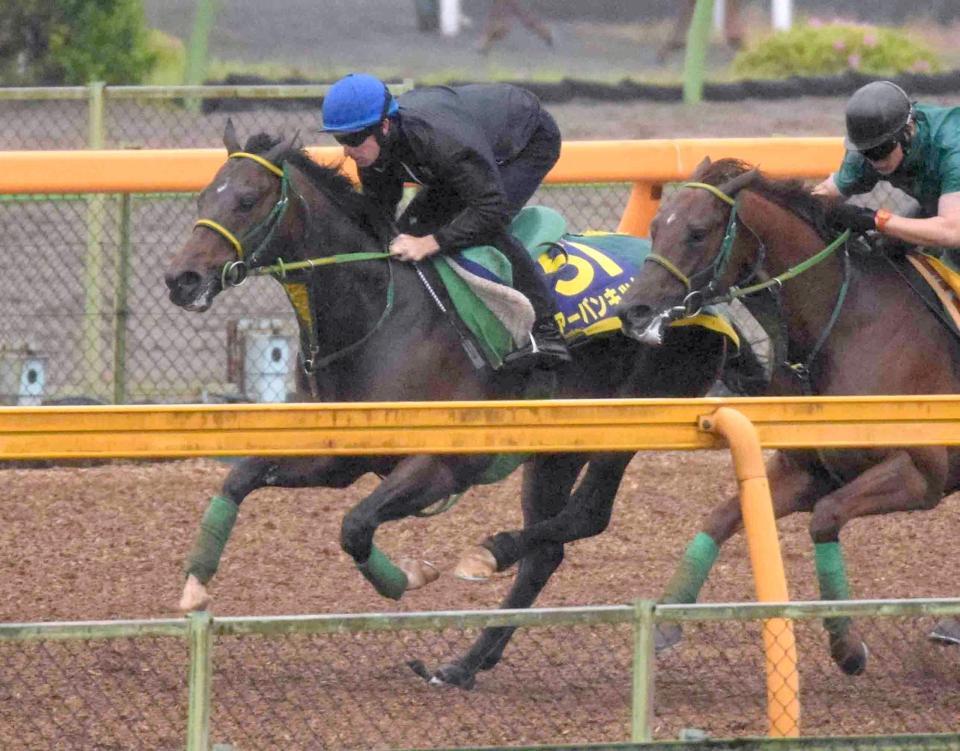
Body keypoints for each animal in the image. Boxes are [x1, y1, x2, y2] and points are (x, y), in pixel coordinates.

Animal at [163, 124, 750, 689]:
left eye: (246, 199)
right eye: (202, 197)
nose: (181, 279)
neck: (381, 313)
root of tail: (702, 300)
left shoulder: (444, 464)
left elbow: (355, 524)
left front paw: (406, 578)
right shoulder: (340, 457)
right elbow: (241, 478)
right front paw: (195, 585)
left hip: (624, 426)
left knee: (585, 516)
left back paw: (488, 556)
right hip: (553, 451)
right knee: (546, 552)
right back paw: (464, 664)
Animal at [619, 156, 960, 674]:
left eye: (698, 232)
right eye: (656, 227)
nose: (633, 309)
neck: (845, 327)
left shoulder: (922, 475)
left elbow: (825, 518)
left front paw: (847, 647)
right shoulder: (807, 470)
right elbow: (720, 516)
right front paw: (665, 622)